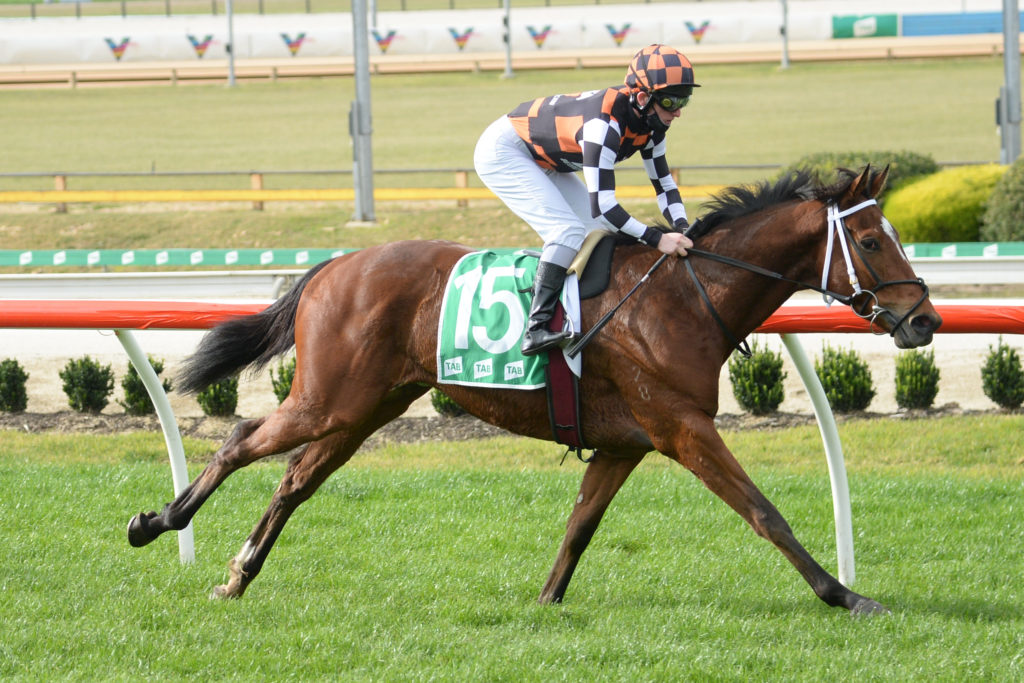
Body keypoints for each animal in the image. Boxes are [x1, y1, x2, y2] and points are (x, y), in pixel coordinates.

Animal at [128, 165, 941, 614]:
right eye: (873, 240)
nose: (926, 318)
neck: (684, 294)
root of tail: (334, 265)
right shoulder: (682, 428)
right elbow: (766, 513)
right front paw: (847, 594)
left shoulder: (624, 443)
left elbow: (580, 526)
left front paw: (546, 603)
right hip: (329, 399)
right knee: (243, 439)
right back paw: (156, 522)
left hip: (363, 409)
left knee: (295, 479)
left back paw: (238, 574)